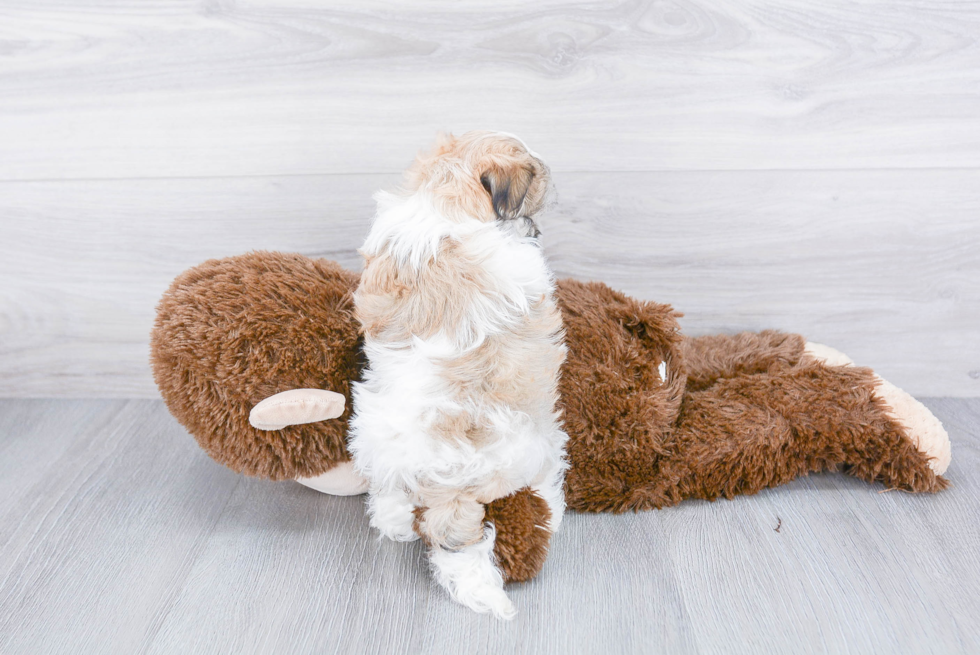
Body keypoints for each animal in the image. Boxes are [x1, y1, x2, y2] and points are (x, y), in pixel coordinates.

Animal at [350, 133, 568, 620]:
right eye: (536, 180)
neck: (444, 194)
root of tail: (448, 476)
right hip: (540, 440)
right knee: (544, 478)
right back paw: (556, 508)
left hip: (372, 427)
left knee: (388, 489)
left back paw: (396, 524)